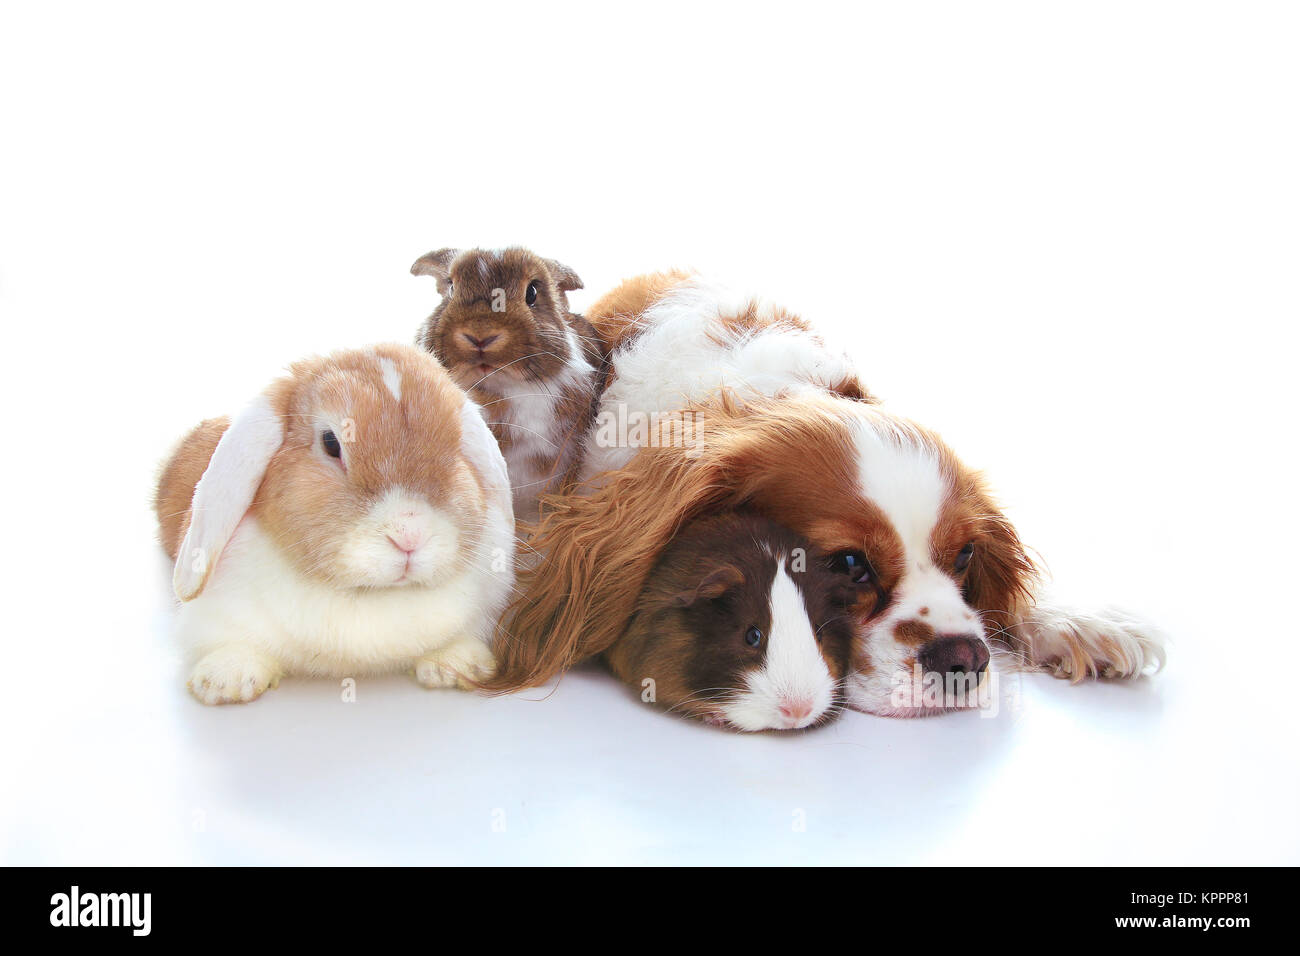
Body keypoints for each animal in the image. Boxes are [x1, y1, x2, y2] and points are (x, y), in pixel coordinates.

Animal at [153, 344, 516, 704]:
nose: (410, 536)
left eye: (456, 448)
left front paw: (457, 665)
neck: (368, 594)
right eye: (331, 443)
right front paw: (225, 680)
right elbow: (231, 641)